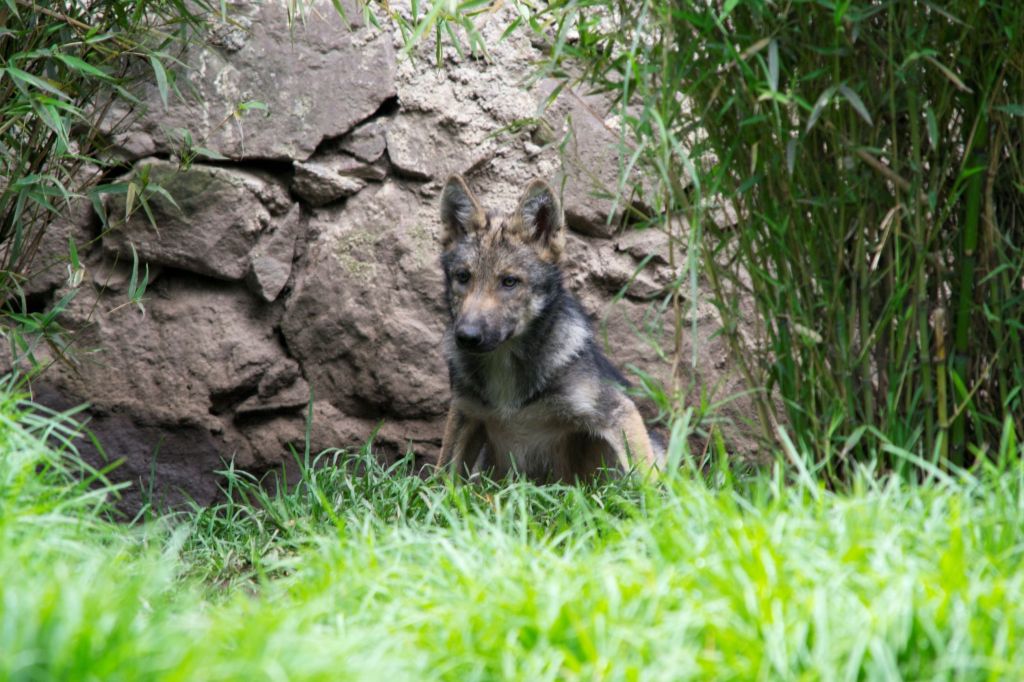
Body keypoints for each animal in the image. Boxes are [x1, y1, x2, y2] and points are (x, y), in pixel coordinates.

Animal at [436, 174, 662, 482]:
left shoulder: (619, 410)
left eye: (509, 282)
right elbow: (439, 479)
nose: (467, 337)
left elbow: (650, 483)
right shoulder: (464, 412)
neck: (505, 370)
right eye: (463, 277)